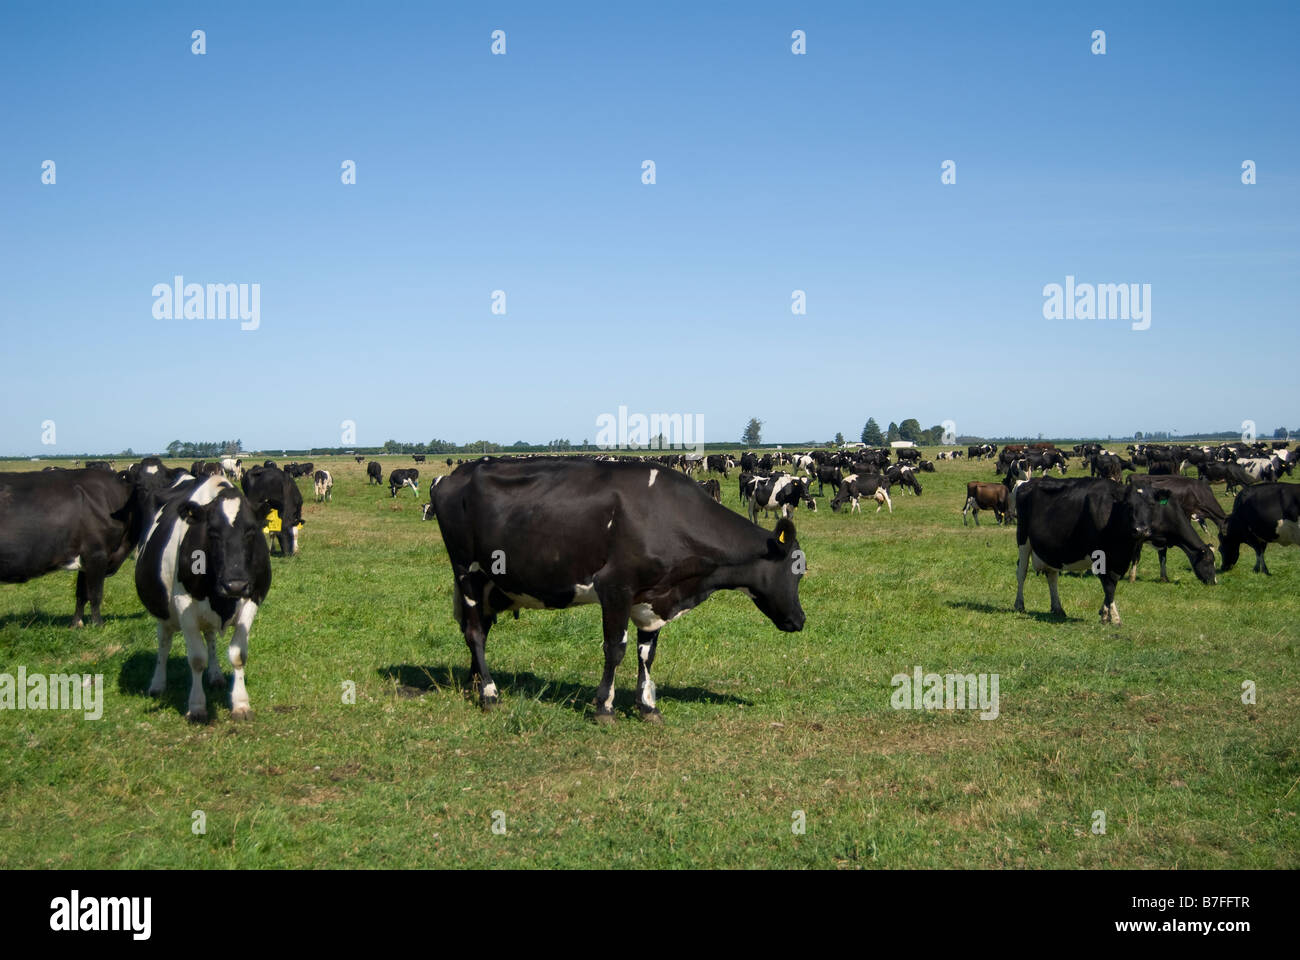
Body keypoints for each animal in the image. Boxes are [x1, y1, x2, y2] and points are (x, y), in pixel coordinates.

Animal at [0, 469, 142, 627]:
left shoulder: (85, 559)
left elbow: (81, 594)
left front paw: (76, 624)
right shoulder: (97, 554)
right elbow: (95, 594)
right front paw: (98, 624)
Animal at [135, 475, 271, 722]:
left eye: (250, 531)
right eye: (213, 532)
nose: (235, 585)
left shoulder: (252, 599)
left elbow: (238, 655)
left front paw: (241, 704)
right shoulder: (184, 603)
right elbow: (197, 659)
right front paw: (197, 707)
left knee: (210, 637)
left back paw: (216, 676)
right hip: (164, 612)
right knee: (164, 643)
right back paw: (157, 684)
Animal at [428, 457, 805, 720]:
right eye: (797, 570)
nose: (800, 620)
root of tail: (453, 475)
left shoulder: (652, 599)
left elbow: (646, 654)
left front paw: (647, 706)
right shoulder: (615, 588)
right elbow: (615, 649)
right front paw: (604, 707)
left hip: (491, 584)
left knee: (479, 627)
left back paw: (475, 683)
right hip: (467, 573)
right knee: (475, 632)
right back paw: (489, 694)